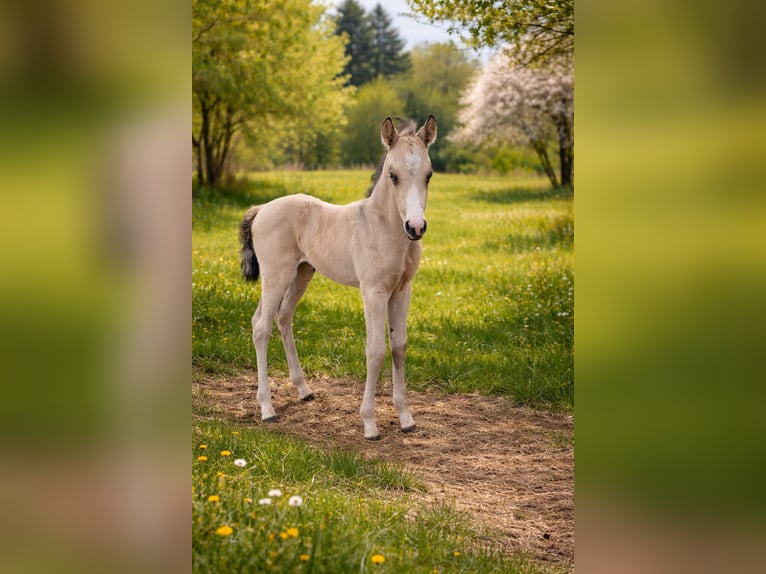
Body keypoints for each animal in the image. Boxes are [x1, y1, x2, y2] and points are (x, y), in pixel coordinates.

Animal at [238, 115, 437, 440]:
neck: (384, 228)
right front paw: (369, 424)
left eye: (429, 175)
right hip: (276, 276)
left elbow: (399, 347)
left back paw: (304, 390)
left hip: (301, 274)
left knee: (283, 317)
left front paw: (406, 418)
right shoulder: (373, 292)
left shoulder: (402, 290)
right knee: (261, 326)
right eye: (393, 176)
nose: (416, 227)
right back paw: (267, 408)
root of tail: (261, 209)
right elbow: (375, 351)